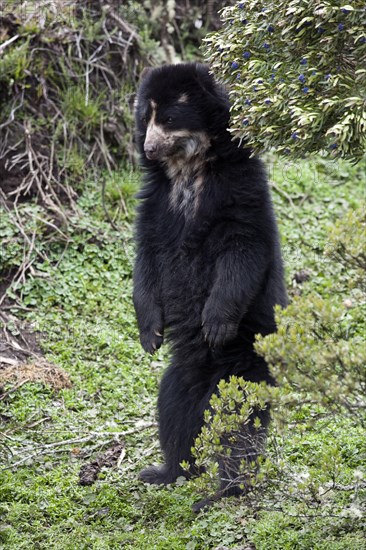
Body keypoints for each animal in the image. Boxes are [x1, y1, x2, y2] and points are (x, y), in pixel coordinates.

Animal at [133, 62, 288, 512]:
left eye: (168, 118)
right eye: (144, 118)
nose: (149, 148)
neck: (188, 169)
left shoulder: (239, 189)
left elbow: (242, 249)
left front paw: (215, 324)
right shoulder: (156, 201)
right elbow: (146, 257)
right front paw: (150, 333)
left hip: (243, 370)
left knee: (235, 427)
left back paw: (223, 490)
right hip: (181, 378)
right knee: (174, 411)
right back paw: (168, 472)